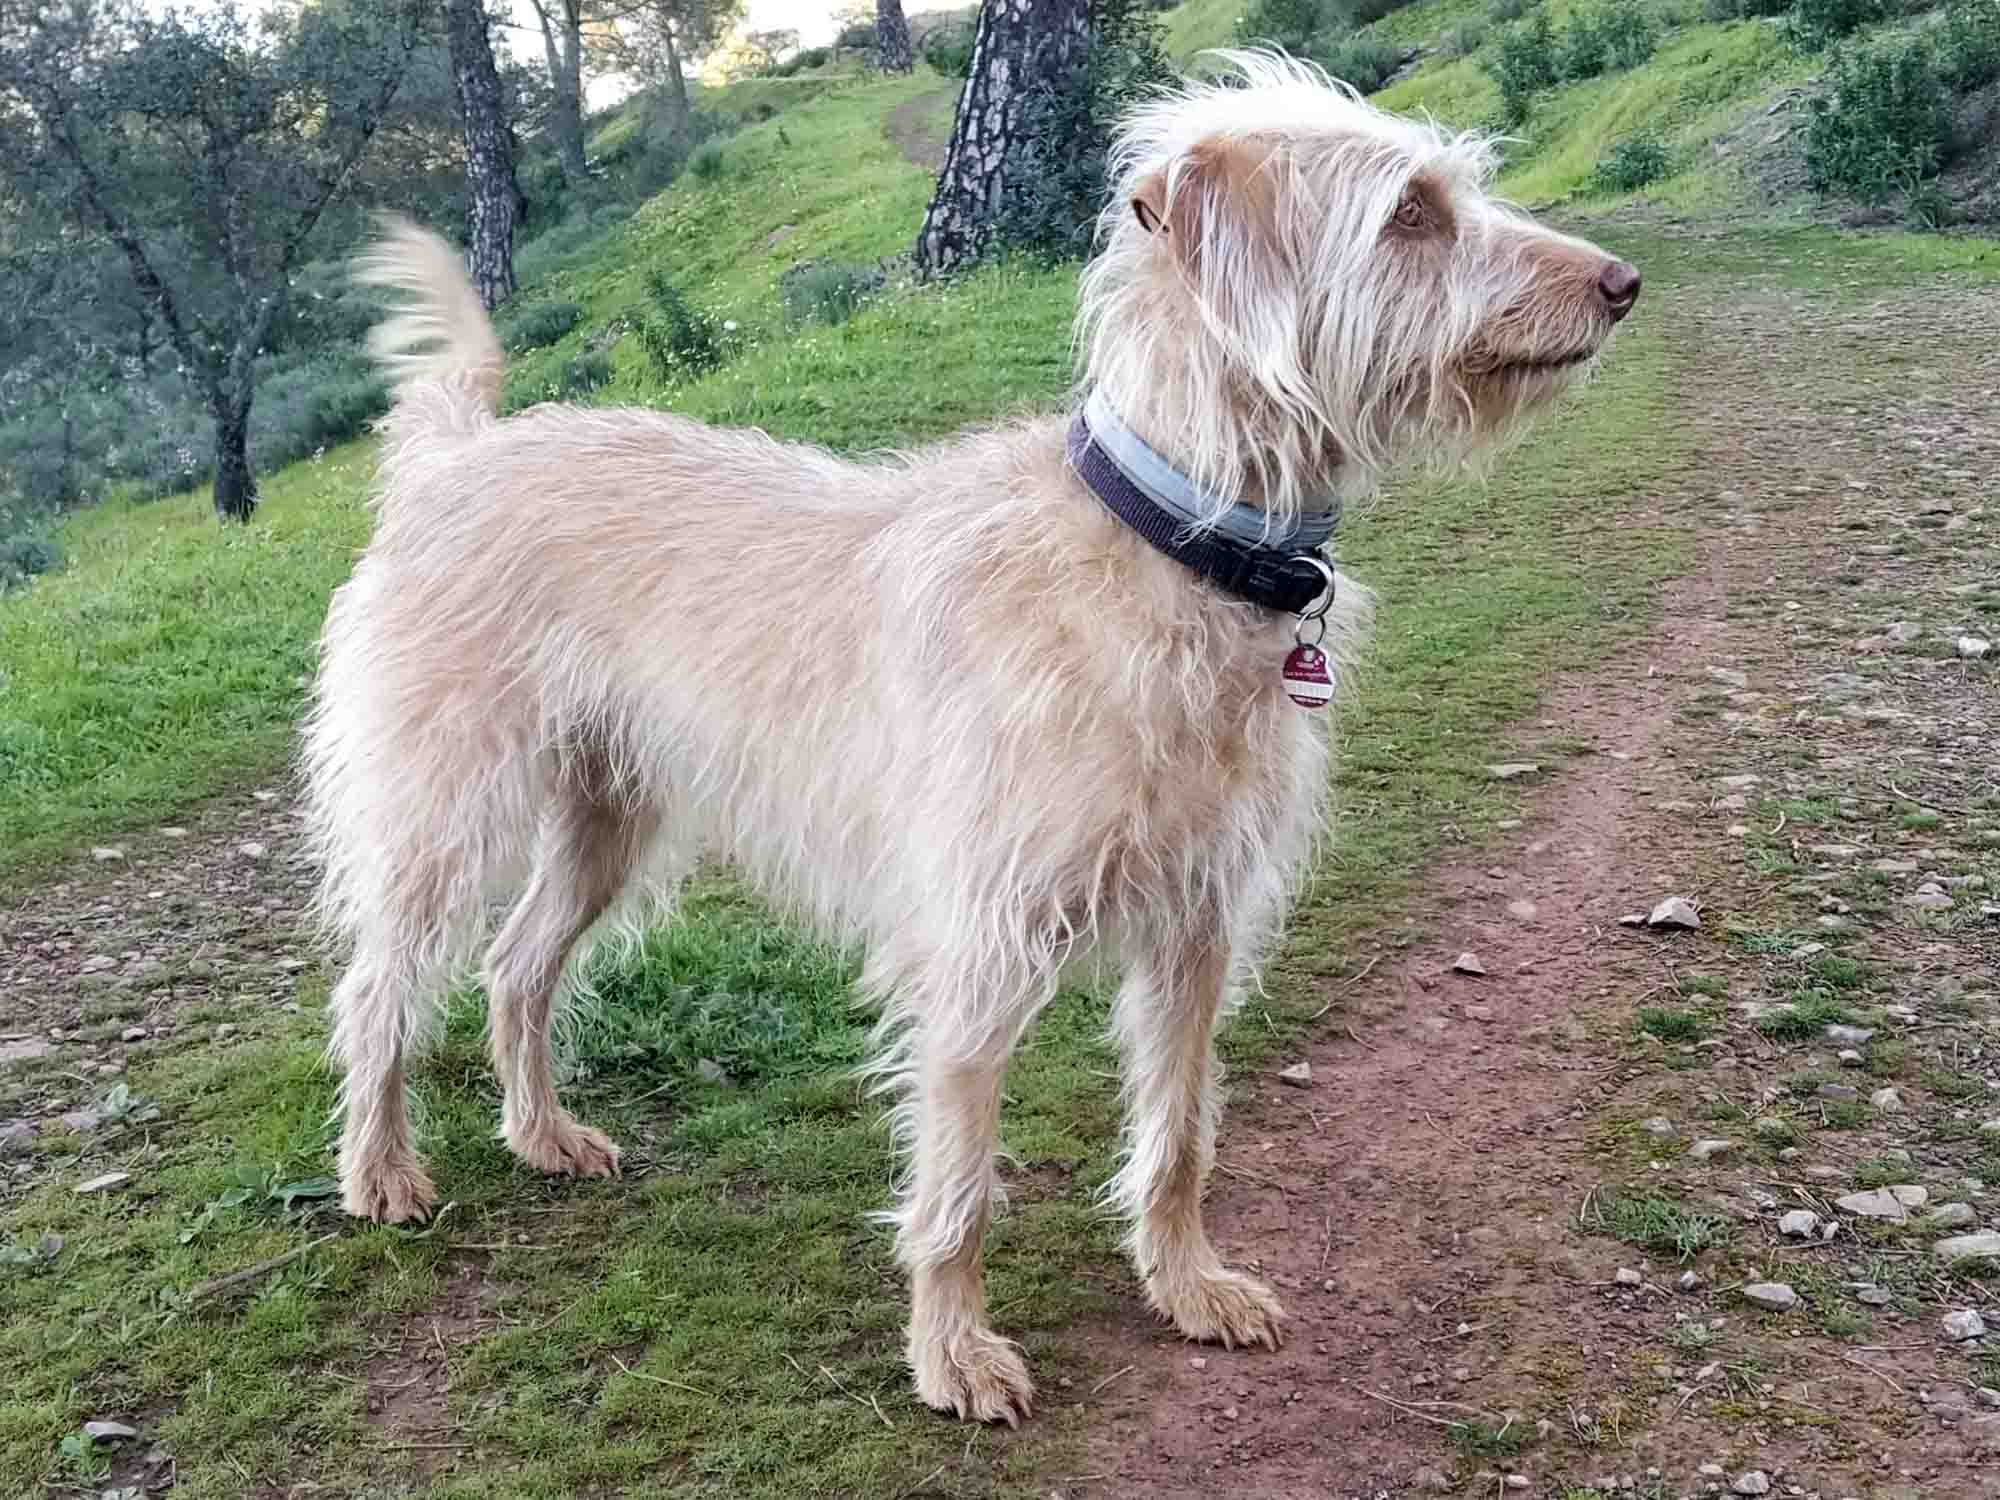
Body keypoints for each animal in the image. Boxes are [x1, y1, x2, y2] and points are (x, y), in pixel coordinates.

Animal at [307, 50, 1638, 1425]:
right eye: (1410, 213)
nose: (1620, 284)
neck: (1173, 546)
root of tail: (454, 456)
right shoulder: (976, 947)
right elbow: (956, 1186)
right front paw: (952, 1354)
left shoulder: (1198, 923)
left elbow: (1179, 1133)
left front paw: (1185, 1285)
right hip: (444, 816)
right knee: (376, 991)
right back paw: (380, 1172)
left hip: (604, 820)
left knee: (516, 965)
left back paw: (540, 1134)